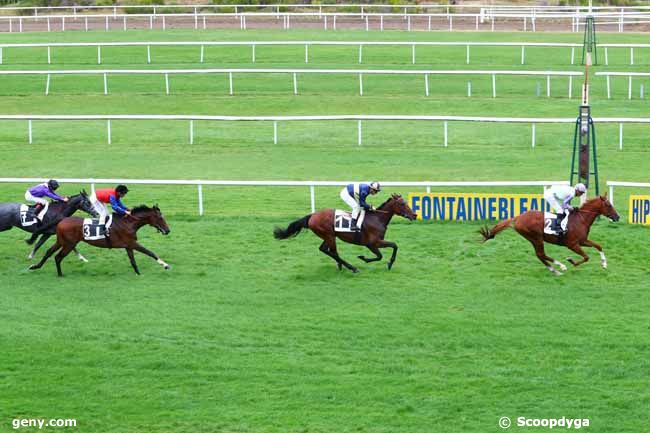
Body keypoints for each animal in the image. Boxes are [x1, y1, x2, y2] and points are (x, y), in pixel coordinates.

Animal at [29, 203, 171, 276]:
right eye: (160, 218)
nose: (168, 230)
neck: (129, 223)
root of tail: (62, 219)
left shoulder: (128, 245)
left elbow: (133, 261)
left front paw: (138, 273)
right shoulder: (132, 243)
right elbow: (150, 252)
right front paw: (165, 265)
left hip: (61, 241)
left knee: (49, 252)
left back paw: (35, 266)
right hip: (69, 244)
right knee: (58, 257)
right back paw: (60, 274)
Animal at [272, 193, 416, 272]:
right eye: (402, 204)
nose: (414, 215)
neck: (377, 218)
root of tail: (312, 216)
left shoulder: (373, 244)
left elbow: (389, 249)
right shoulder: (372, 243)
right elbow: (388, 250)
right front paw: (383, 262)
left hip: (329, 236)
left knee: (325, 250)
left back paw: (342, 265)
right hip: (329, 235)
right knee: (333, 252)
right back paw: (351, 267)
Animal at [478, 195, 620, 276]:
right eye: (608, 205)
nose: (617, 217)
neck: (581, 219)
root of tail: (518, 217)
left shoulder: (582, 241)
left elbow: (598, 246)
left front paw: (604, 264)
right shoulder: (572, 244)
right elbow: (586, 257)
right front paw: (571, 261)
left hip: (534, 239)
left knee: (540, 255)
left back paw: (555, 270)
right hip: (536, 238)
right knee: (541, 254)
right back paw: (560, 266)